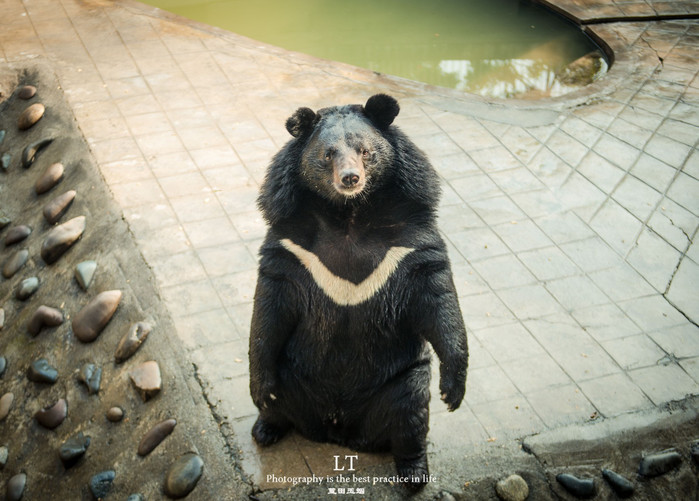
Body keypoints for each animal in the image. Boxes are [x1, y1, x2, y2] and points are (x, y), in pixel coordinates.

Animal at [249, 93, 468, 488]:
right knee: (279, 396)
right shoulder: (290, 246)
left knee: (411, 415)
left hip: (401, 378)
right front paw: (260, 387)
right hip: (292, 366)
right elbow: (269, 309)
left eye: (365, 151)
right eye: (327, 154)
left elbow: (437, 298)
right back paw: (266, 428)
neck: (348, 214)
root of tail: (339, 429)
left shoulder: (411, 242)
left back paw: (413, 473)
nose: (350, 178)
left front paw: (453, 390)